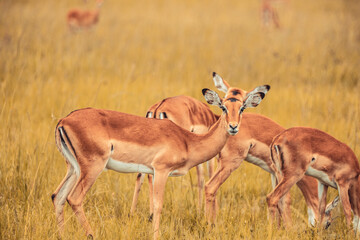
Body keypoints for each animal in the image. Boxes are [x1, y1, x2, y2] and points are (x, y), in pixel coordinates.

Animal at [51, 72, 270, 239]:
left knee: (57, 196)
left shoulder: (155, 172)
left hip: (74, 168)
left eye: (242, 107)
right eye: (223, 107)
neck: (187, 140)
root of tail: (64, 120)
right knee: (74, 199)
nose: (233, 127)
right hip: (92, 167)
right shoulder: (161, 171)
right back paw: (91, 234)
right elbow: (157, 206)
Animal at [204, 76, 338, 228]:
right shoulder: (283, 175)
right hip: (230, 164)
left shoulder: (274, 174)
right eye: (328, 223)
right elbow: (285, 201)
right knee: (210, 187)